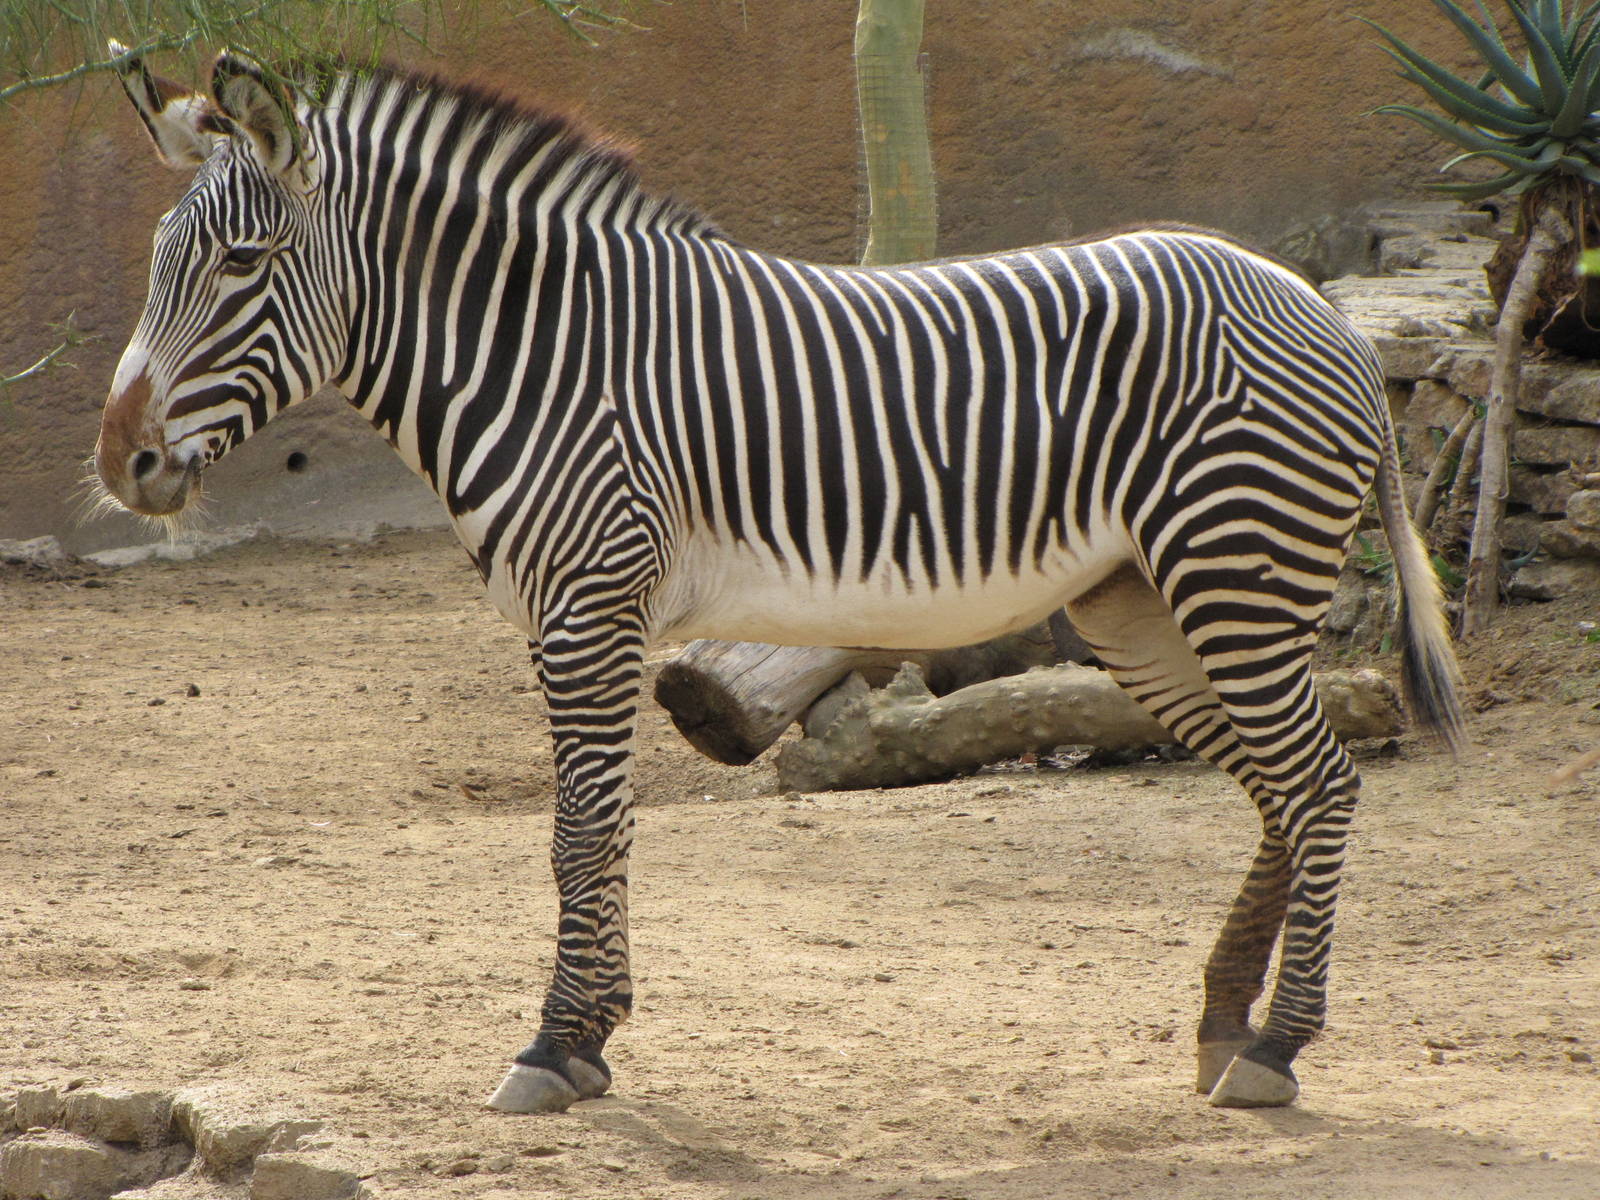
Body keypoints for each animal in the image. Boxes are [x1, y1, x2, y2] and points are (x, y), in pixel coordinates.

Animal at [94, 48, 1464, 1114]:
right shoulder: (572, 614)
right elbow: (605, 825)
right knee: (1280, 792)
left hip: (1234, 573)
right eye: (161, 258)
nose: (122, 463)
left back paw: (1277, 1047)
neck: (541, 356)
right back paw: (1225, 1025)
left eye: (242, 263)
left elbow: (577, 829)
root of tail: (1328, 316)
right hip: (1143, 606)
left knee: (1322, 785)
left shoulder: (590, 601)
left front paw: (552, 1046)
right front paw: (595, 1035)